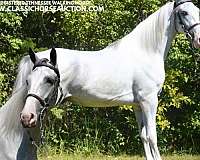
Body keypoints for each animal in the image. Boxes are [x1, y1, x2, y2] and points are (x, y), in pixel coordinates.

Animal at [0, 0, 200, 159]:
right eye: (184, 12)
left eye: (197, 10)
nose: (198, 40)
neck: (145, 51)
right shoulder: (149, 101)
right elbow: (152, 137)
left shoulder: (138, 105)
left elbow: (143, 137)